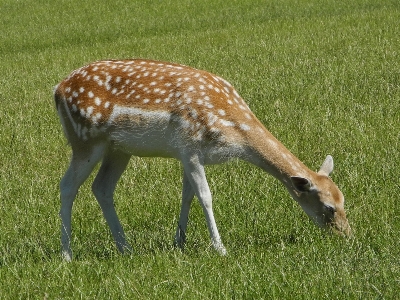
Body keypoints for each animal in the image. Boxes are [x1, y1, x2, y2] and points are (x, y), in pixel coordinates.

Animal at [54, 58, 350, 260]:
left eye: (343, 200)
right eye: (328, 208)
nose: (346, 235)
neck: (233, 129)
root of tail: (57, 90)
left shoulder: (189, 155)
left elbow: (187, 196)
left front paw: (180, 241)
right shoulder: (190, 148)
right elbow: (205, 196)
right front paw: (220, 248)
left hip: (118, 149)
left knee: (102, 187)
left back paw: (125, 247)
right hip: (85, 140)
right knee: (67, 185)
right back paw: (67, 254)